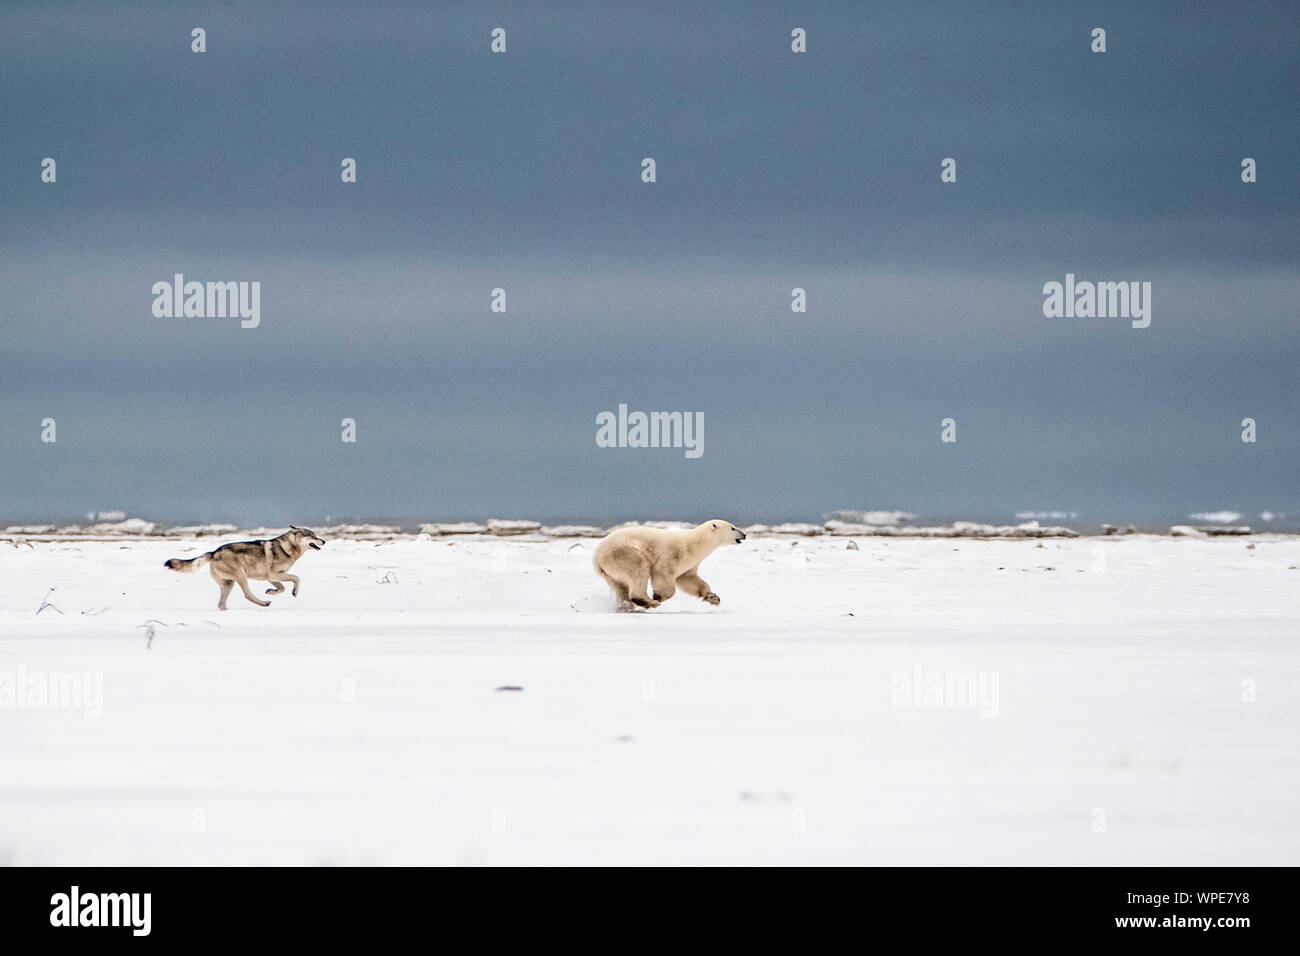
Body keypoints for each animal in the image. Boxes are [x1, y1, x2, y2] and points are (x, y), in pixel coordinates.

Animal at [164, 527, 325, 610]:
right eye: (312, 536)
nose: (324, 541)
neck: (289, 548)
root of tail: (214, 552)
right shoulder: (274, 575)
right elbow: (296, 578)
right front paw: (294, 592)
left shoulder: (271, 578)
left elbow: (281, 588)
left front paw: (271, 591)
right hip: (241, 575)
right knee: (247, 595)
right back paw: (264, 603)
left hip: (229, 583)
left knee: (221, 604)